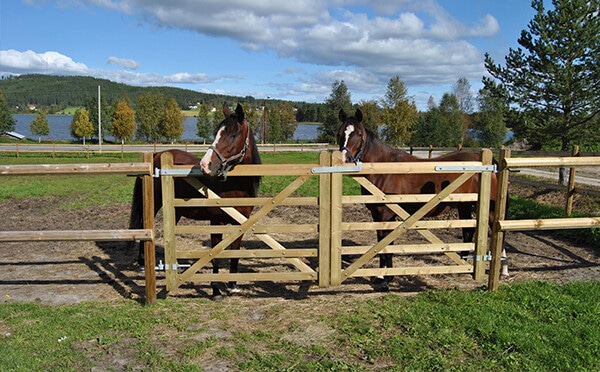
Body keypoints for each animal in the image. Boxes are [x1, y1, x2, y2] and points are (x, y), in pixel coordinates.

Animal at [130, 104, 262, 300]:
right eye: (215, 133)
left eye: (233, 135)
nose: (205, 165)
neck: (235, 186)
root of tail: (157, 154)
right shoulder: (216, 222)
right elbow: (215, 255)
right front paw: (216, 290)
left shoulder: (241, 223)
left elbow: (235, 253)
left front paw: (233, 285)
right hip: (154, 204)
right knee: (145, 227)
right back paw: (141, 263)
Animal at [338, 107, 506, 290]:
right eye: (339, 133)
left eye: (359, 134)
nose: (344, 160)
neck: (385, 169)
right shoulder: (377, 214)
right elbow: (380, 242)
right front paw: (381, 276)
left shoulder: (386, 214)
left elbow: (386, 243)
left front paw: (386, 279)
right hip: (464, 206)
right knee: (468, 232)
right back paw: (463, 266)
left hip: (488, 210)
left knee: (497, 231)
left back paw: (502, 270)